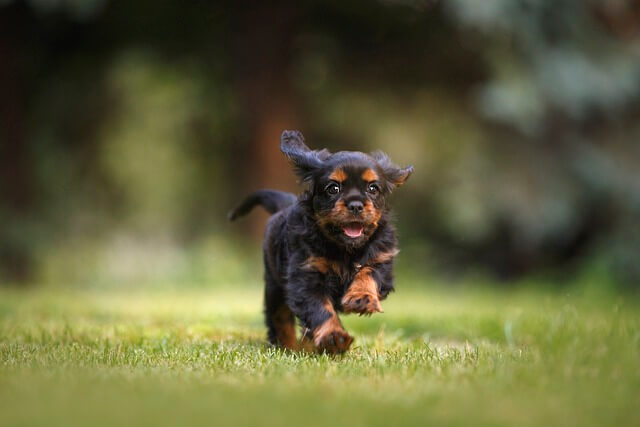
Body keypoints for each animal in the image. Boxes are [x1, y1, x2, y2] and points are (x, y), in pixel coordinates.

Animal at [228, 130, 412, 354]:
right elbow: (320, 309)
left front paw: (361, 298)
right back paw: (289, 347)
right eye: (333, 189)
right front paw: (333, 337)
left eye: (372, 188)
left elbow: (368, 274)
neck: (345, 249)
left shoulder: (382, 260)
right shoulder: (306, 276)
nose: (356, 205)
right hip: (275, 286)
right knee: (279, 318)